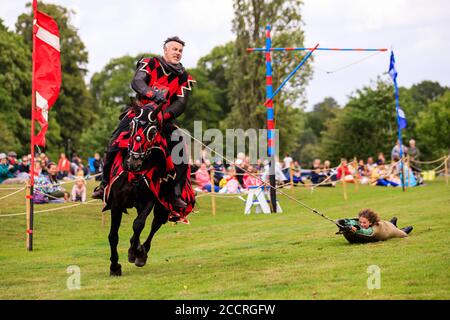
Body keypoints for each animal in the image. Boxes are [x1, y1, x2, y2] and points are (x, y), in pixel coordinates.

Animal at [103, 101, 173, 276]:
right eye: (131, 125)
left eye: (153, 131)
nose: (133, 162)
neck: (135, 174)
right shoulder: (116, 204)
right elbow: (113, 236)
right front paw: (114, 266)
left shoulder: (150, 200)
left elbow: (138, 224)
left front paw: (136, 252)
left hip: (159, 206)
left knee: (155, 223)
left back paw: (141, 251)